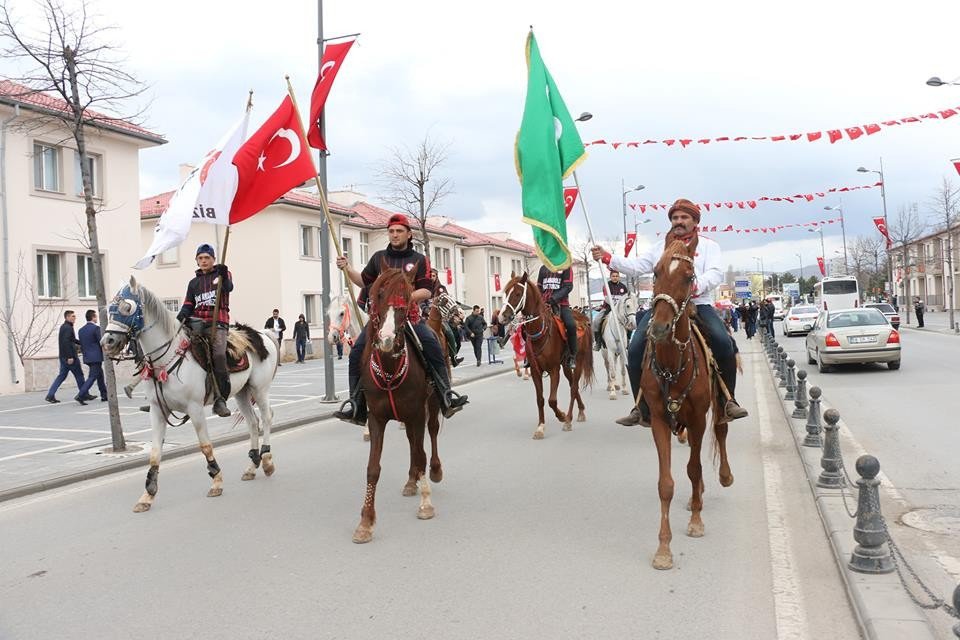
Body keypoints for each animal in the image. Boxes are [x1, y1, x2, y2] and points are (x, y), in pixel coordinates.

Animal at [102, 278, 280, 512]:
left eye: (127, 307)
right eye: (109, 309)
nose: (108, 342)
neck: (166, 358)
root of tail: (261, 334)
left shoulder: (195, 409)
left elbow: (205, 446)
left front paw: (216, 481)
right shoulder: (158, 411)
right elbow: (155, 452)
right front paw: (147, 495)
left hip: (259, 389)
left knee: (267, 418)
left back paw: (267, 461)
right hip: (242, 393)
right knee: (252, 422)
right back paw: (252, 466)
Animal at [352, 268, 442, 544]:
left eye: (407, 298)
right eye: (379, 295)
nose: (387, 339)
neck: (390, 370)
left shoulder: (417, 413)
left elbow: (421, 454)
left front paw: (426, 505)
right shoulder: (376, 418)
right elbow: (372, 468)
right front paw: (365, 522)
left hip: (431, 405)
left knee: (431, 434)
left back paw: (434, 472)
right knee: (413, 443)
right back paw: (412, 481)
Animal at [496, 270, 592, 440]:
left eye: (518, 293)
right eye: (506, 293)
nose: (502, 317)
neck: (540, 331)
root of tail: (583, 319)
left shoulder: (554, 370)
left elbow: (552, 400)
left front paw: (561, 416)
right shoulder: (535, 371)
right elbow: (540, 399)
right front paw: (540, 427)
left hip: (578, 361)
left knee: (574, 388)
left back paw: (569, 419)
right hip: (565, 365)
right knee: (572, 385)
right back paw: (580, 411)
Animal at [644, 238, 736, 568]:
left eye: (688, 277)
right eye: (655, 272)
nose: (659, 328)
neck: (674, 364)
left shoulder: (698, 418)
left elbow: (694, 468)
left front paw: (696, 522)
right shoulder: (659, 420)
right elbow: (665, 483)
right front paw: (663, 548)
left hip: (718, 407)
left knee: (721, 431)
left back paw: (723, 477)